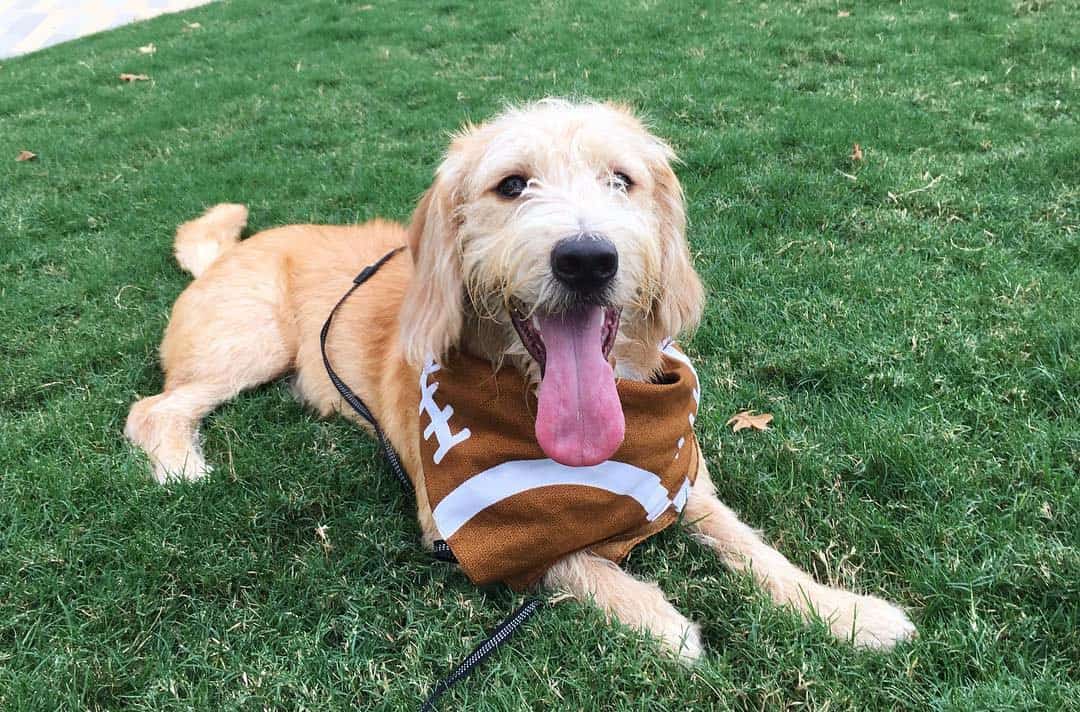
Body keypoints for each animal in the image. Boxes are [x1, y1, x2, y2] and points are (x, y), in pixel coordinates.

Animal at [128, 97, 920, 661]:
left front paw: (847, 612)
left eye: (620, 180)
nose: (587, 259)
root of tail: (230, 250)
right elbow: (572, 558)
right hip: (247, 345)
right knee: (153, 407)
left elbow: (757, 549)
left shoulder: (683, 480)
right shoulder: (456, 525)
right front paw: (660, 620)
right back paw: (181, 466)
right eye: (512, 185)